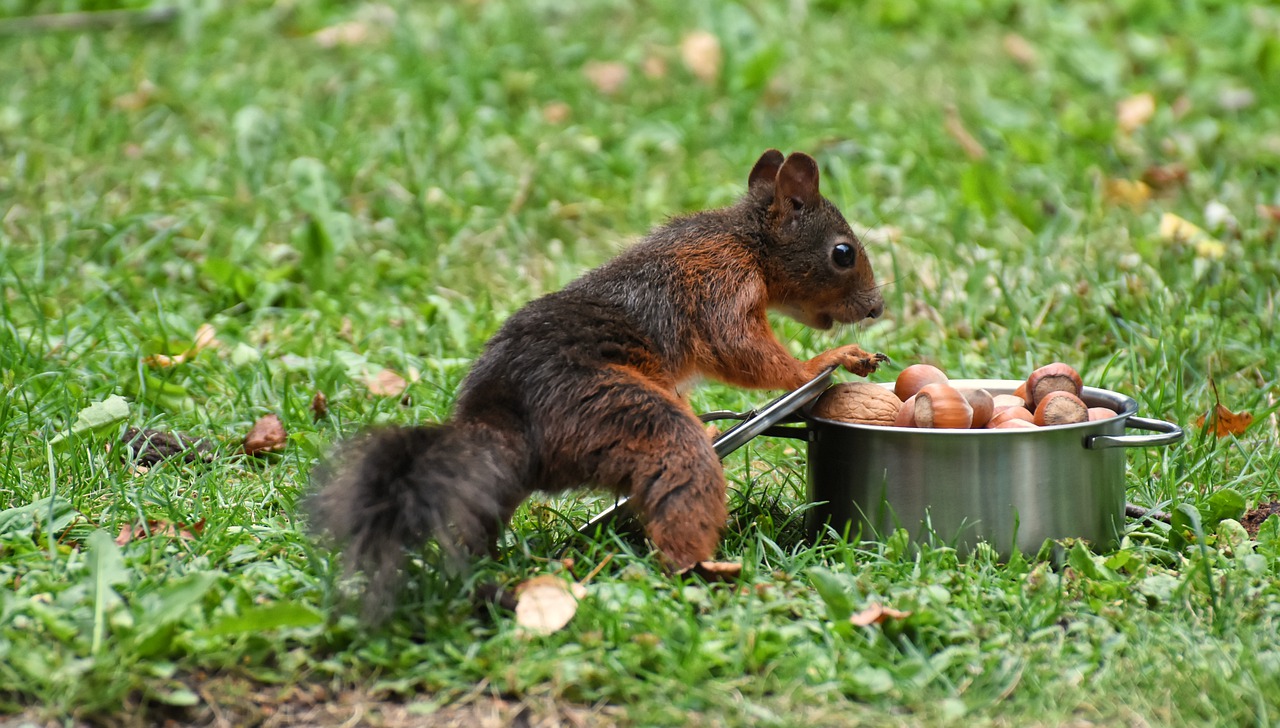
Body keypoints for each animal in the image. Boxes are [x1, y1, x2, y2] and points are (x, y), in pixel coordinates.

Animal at [311, 146, 890, 606]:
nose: (877, 307)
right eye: (843, 253)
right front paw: (825, 362)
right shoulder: (719, 282)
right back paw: (706, 570)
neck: (746, 240)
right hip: (613, 414)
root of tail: (507, 421)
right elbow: (740, 349)